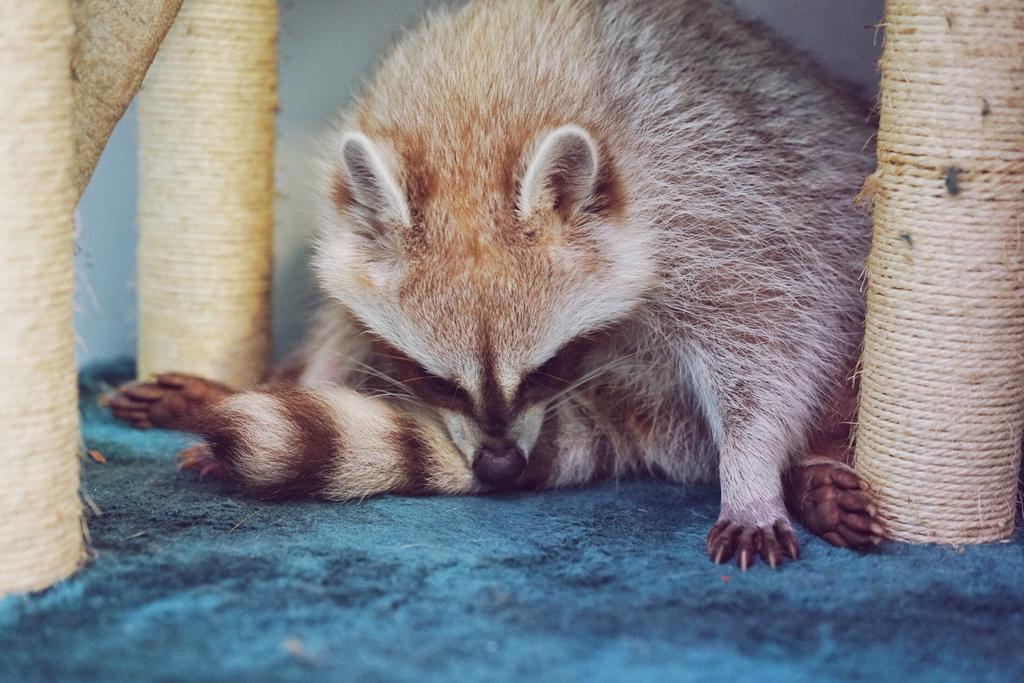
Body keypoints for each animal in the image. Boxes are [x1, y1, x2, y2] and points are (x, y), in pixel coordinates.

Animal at [112, 0, 883, 569]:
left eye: (546, 369)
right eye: (435, 380)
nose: (503, 464)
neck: (479, 109)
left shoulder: (719, 201)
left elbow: (772, 330)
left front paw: (752, 475)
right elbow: (343, 323)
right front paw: (306, 378)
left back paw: (809, 471)